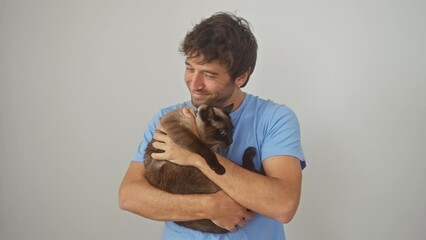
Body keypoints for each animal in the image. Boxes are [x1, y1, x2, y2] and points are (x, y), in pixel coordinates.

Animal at [145, 104, 262, 233]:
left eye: (232, 129)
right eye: (222, 131)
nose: (231, 140)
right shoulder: (181, 131)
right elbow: (204, 148)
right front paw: (219, 169)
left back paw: (251, 151)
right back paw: (250, 152)